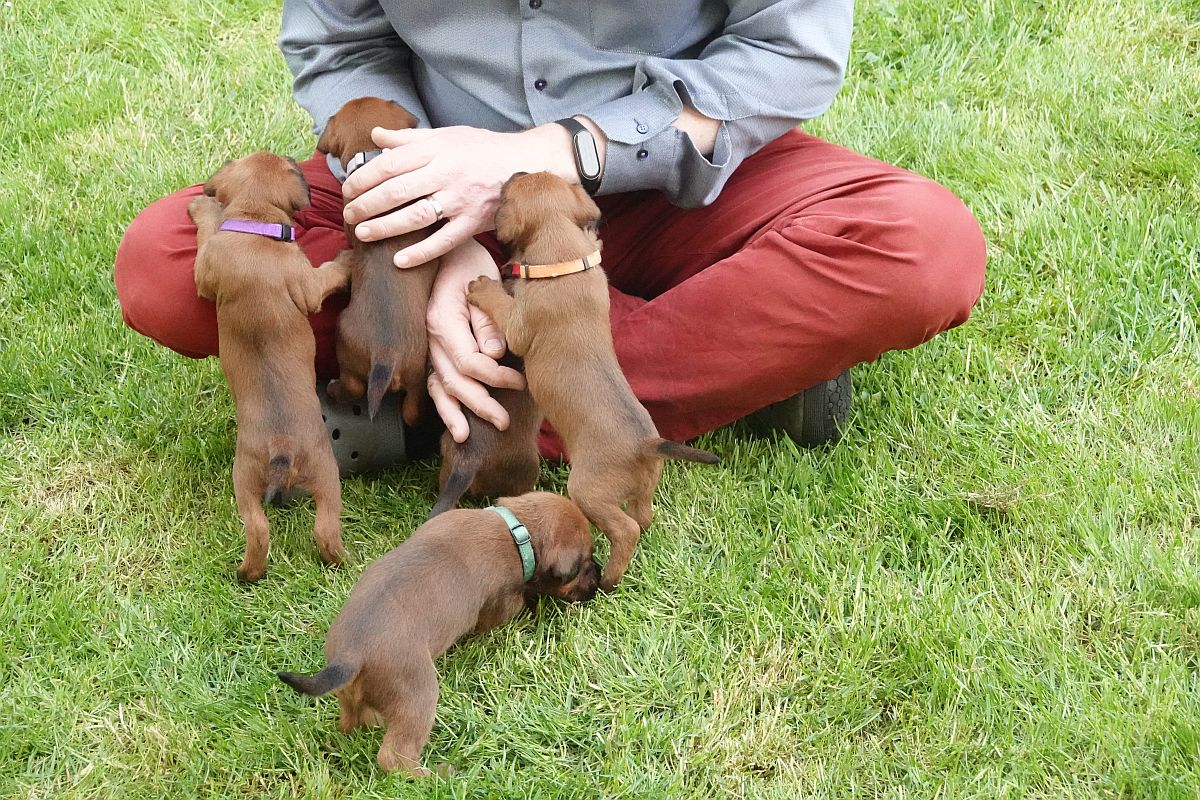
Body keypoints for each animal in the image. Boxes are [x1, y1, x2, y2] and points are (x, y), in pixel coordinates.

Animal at [188, 152, 349, 582]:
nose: (296, 157)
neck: (255, 230)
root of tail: (281, 446)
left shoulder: (207, 266)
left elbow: (208, 232)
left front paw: (202, 208)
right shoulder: (310, 285)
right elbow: (329, 274)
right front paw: (346, 261)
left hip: (245, 482)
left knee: (260, 531)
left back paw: (249, 574)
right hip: (326, 476)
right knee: (321, 531)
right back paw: (340, 564)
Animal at [278, 492, 600, 776]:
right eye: (585, 563)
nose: (598, 578)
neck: (516, 531)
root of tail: (350, 657)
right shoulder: (503, 601)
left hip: (349, 697)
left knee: (350, 723)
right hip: (419, 697)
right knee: (394, 757)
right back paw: (436, 774)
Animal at [316, 97, 438, 423]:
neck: (373, 158)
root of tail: (387, 355)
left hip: (346, 345)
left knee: (354, 387)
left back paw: (332, 389)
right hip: (417, 376)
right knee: (411, 412)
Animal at [465, 172, 719, 591]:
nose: (515, 173)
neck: (561, 255)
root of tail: (646, 445)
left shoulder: (517, 327)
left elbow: (502, 306)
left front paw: (484, 287)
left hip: (587, 490)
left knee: (626, 530)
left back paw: (609, 581)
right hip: (645, 487)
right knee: (642, 517)